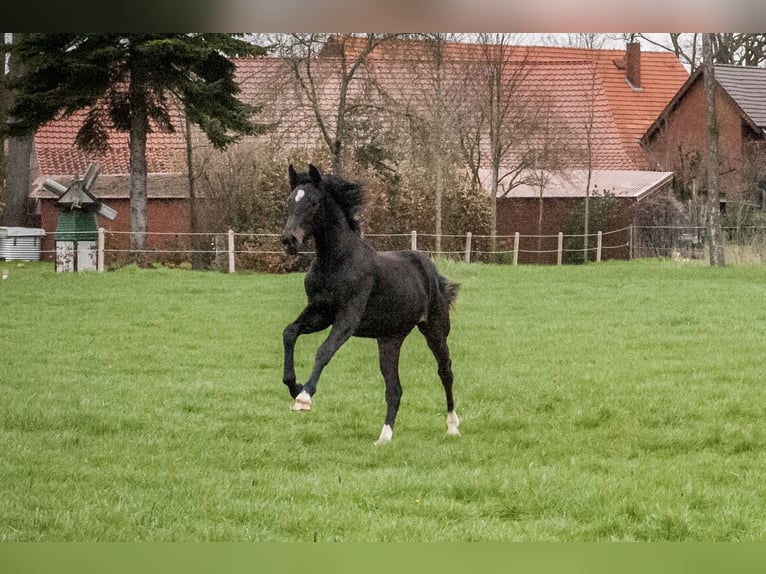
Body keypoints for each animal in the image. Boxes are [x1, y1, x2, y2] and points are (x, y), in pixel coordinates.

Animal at [282, 164, 462, 448]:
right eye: (290, 201)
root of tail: (432, 272)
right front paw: (293, 385)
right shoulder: (320, 313)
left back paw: (452, 426)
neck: (336, 261)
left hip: (435, 330)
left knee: (445, 372)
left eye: (313, 202)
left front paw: (304, 397)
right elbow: (289, 332)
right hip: (390, 339)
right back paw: (384, 437)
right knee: (394, 388)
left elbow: (324, 351)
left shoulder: (348, 317)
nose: (289, 240)